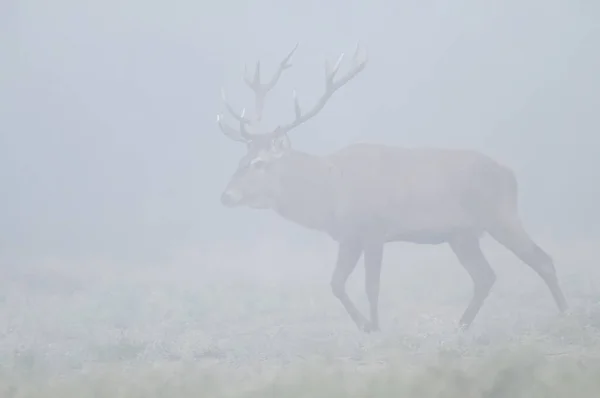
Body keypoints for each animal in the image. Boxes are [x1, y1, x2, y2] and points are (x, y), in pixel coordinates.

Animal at [214, 42, 568, 332]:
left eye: (260, 163)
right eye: (241, 158)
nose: (226, 195)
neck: (330, 193)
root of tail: (511, 175)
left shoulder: (374, 229)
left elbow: (371, 285)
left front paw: (375, 327)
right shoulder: (349, 236)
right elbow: (336, 283)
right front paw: (366, 326)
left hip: (501, 215)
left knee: (542, 260)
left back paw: (564, 314)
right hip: (462, 234)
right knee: (485, 276)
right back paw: (461, 325)